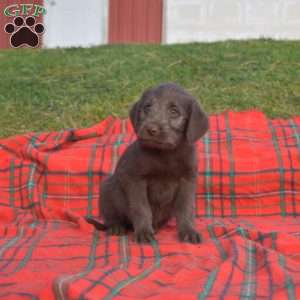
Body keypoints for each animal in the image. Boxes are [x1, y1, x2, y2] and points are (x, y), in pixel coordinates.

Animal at [86, 82, 209, 244]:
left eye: (174, 111)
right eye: (147, 107)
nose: (151, 129)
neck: (165, 154)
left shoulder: (187, 180)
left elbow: (186, 208)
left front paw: (188, 231)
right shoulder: (135, 180)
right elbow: (141, 208)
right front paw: (144, 232)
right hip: (107, 189)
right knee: (111, 217)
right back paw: (116, 227)